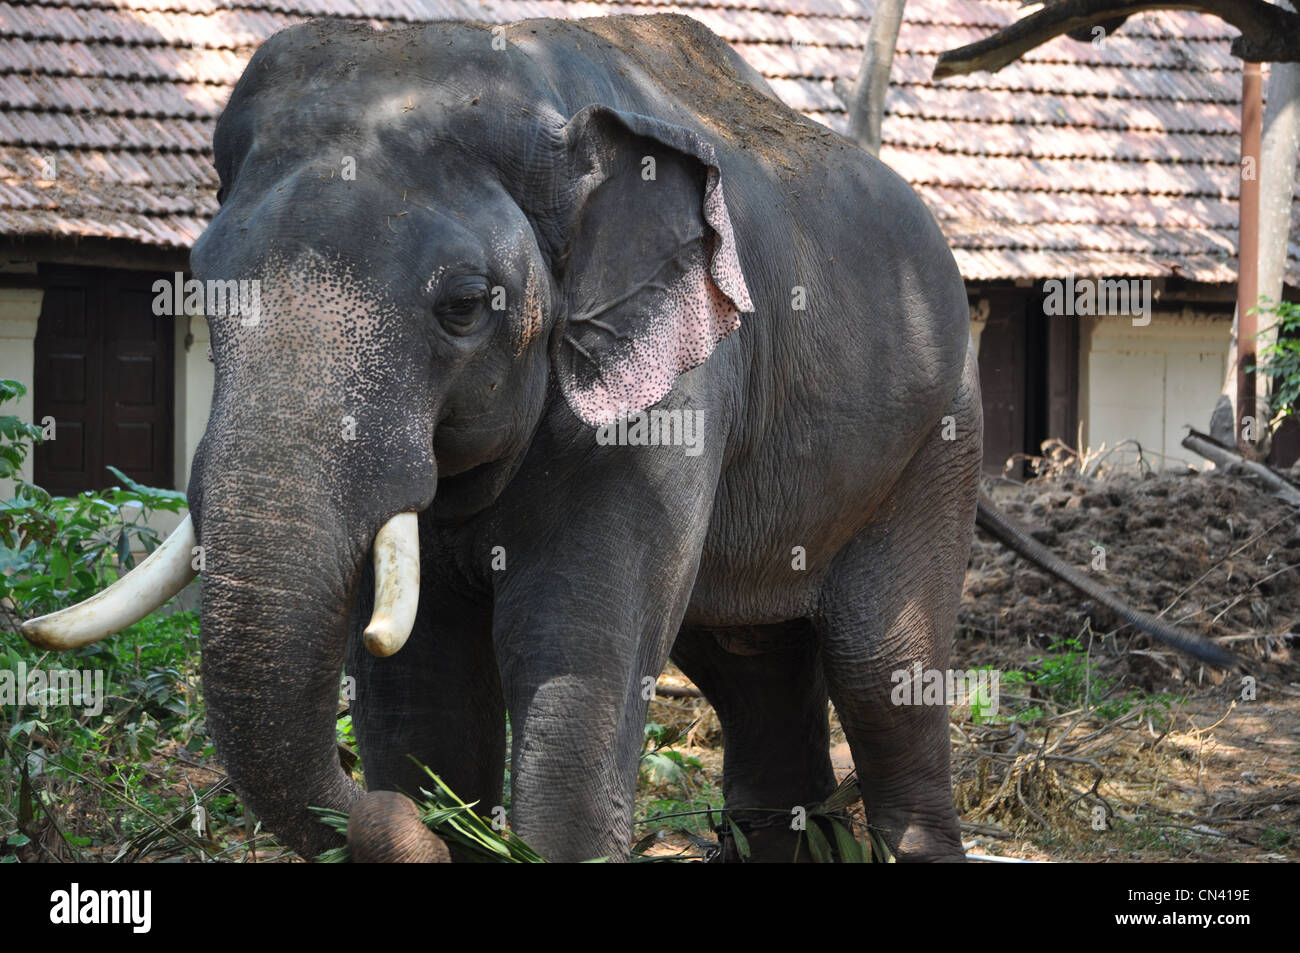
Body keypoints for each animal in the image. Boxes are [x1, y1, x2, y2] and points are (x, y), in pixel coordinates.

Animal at [25, 13, 1232, 863]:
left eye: (461, 306)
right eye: (198, 288)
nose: (409, 829)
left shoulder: (679, 382)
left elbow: (572, 644)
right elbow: (427, 681)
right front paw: (437, 805)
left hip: (935, 437)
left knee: (883, 664)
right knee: (751, 667)